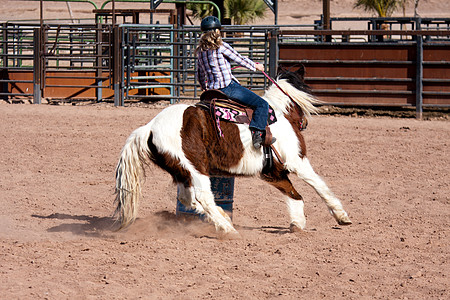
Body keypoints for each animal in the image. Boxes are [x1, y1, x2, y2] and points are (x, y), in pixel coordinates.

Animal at [113, 67, 352, 234]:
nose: (304, 124)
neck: (279, 114)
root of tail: (150, 127)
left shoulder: (272, 172)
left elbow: (294, 194)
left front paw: (297, 223)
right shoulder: (297, 161)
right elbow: (319, 185)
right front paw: (342, 216)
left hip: (181, 172)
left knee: (187, 199)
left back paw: (222, 218)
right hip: (195, 167)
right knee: (203, 197)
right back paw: (228, 229)